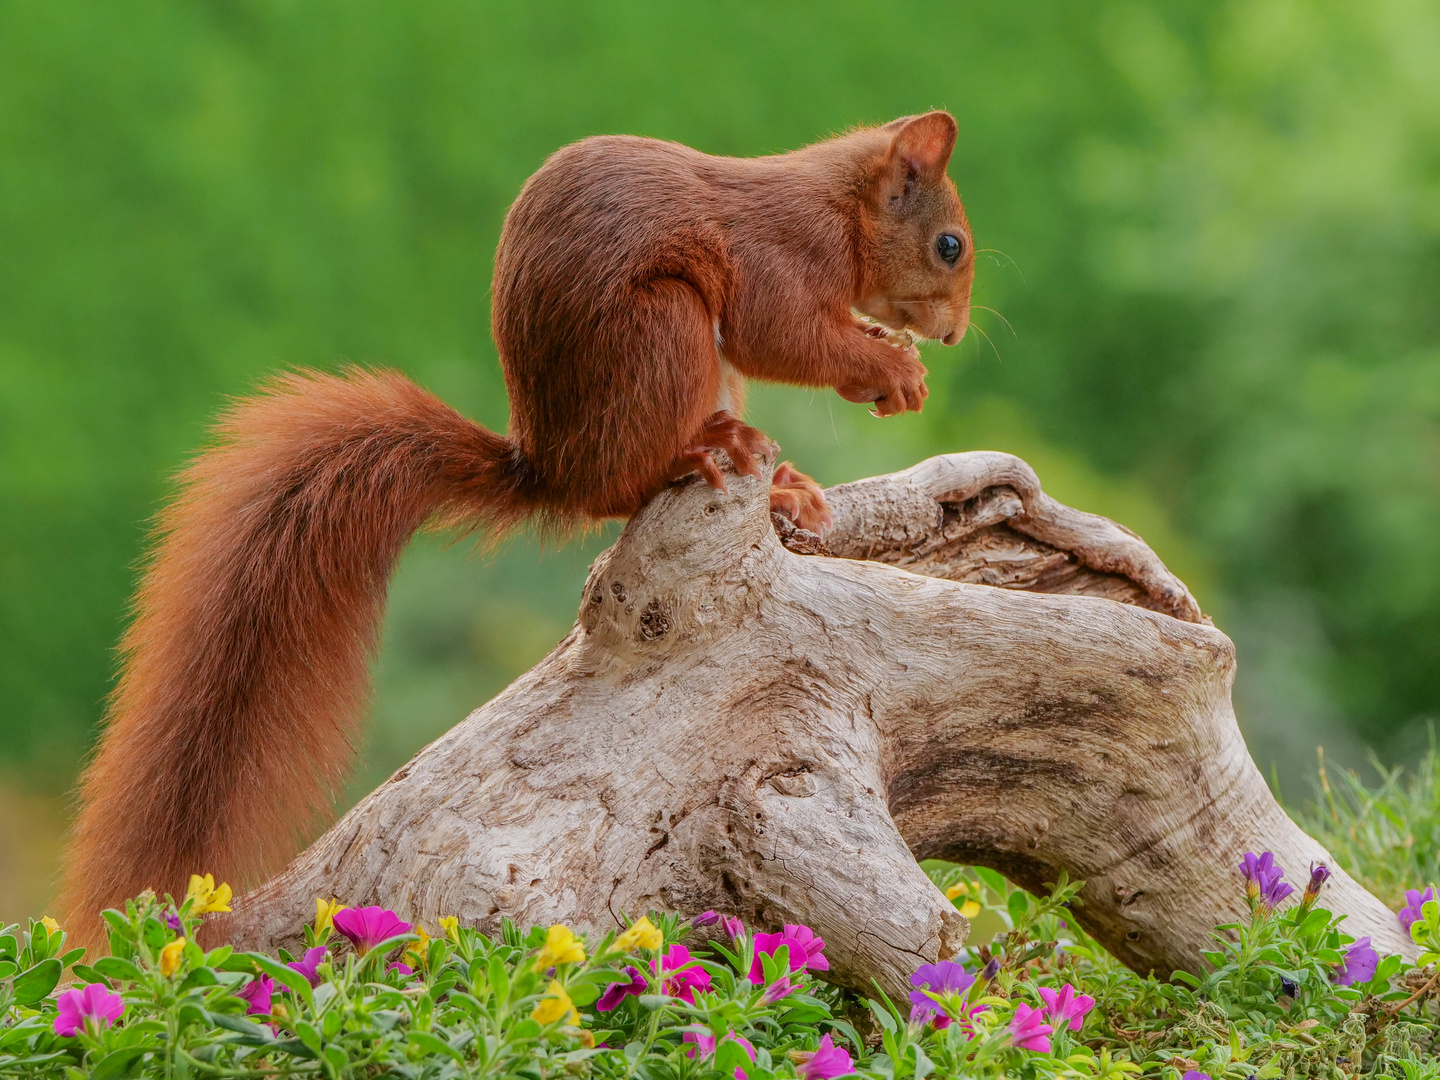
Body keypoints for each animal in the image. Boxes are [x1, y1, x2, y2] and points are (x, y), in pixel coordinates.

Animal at [59, 108, 979, 938]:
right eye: (950, 245)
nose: (956, 333)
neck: (838, 210)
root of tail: (550, 464)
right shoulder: (779, 260)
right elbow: (784, 335)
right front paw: (889, 366)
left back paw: (783, 487)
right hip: (663, 332)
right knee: (630, 482)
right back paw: (704, 451)